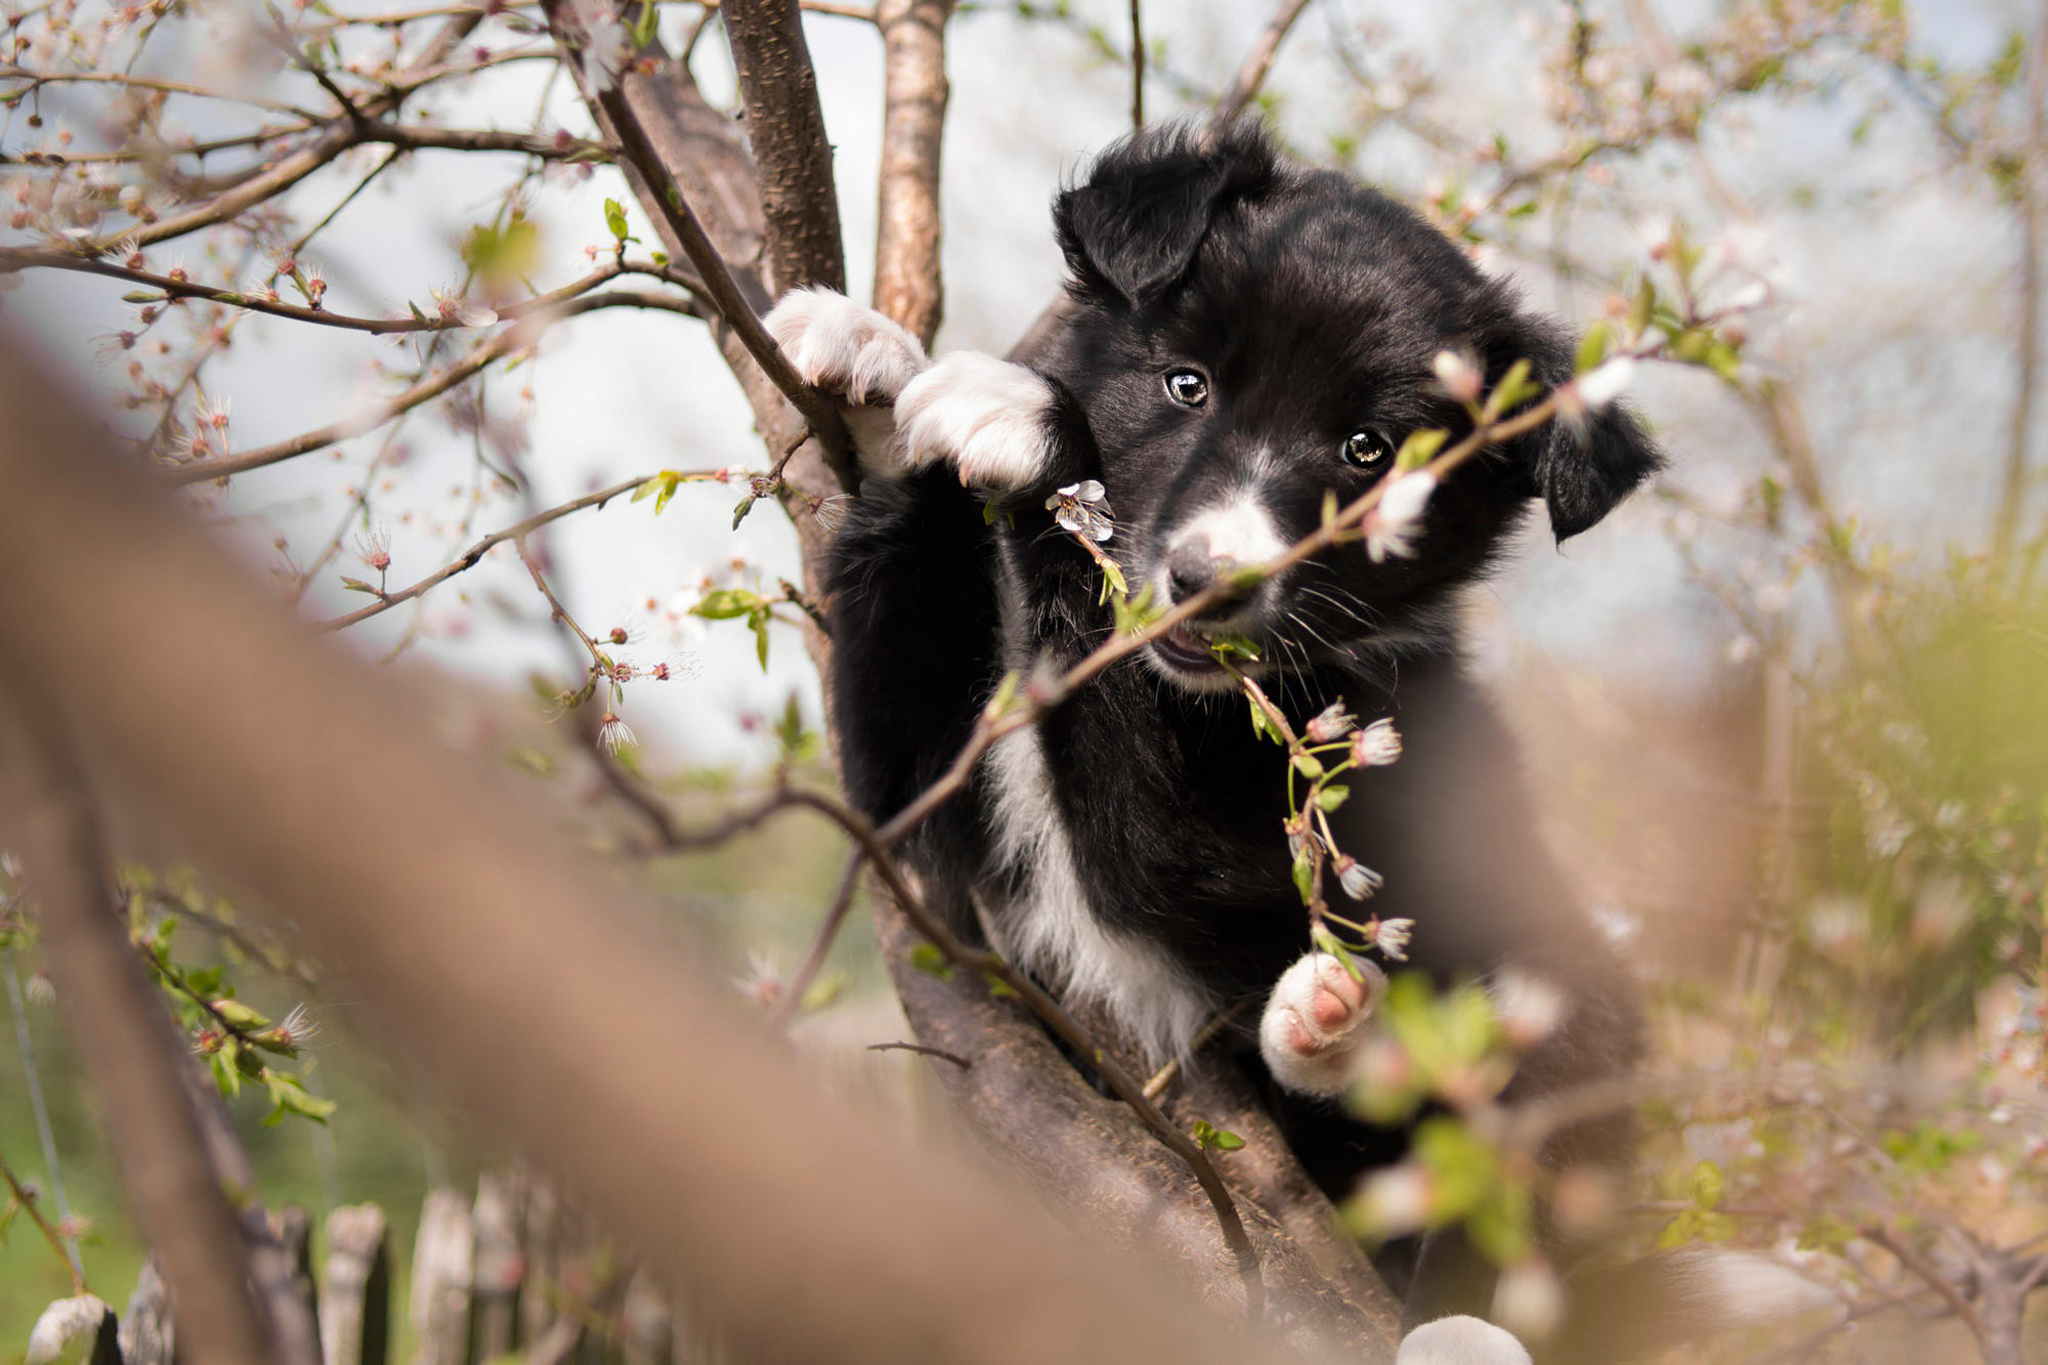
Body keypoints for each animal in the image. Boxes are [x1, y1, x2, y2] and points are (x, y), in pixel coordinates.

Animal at [770, 122, 1744, 1358]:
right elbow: (902, 749)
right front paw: (875, 360)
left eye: (1369, 451)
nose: (1208, 582)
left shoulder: (1238, 831)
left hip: (1563, 987)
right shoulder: (919, 827)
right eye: (1185, 385)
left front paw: (1032, 425)